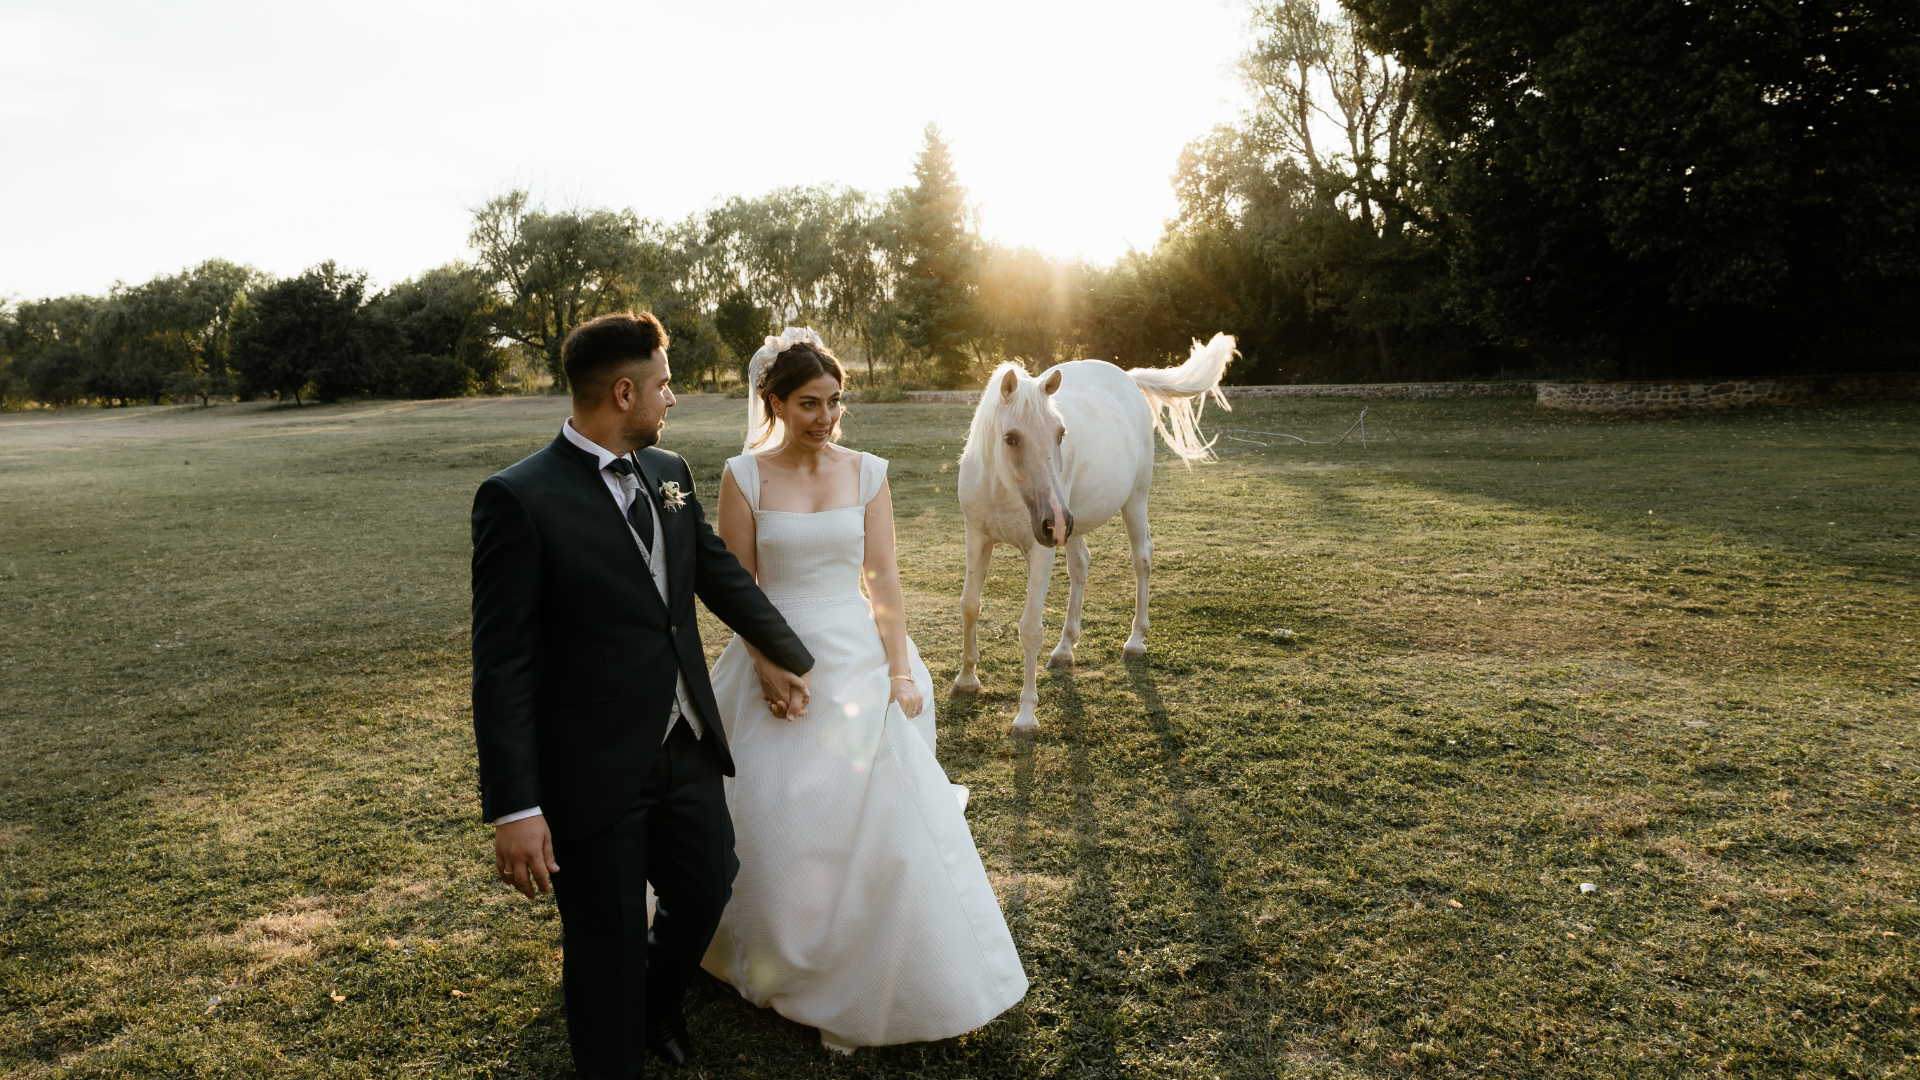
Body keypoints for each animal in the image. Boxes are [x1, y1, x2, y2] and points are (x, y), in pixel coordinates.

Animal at [952, 336, 1236, 734]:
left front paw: (1026, 715)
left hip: (1130, 502)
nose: (1054, 520)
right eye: (1010, 438)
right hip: (1070, 527)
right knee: (1081, 567)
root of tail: (1127, 378)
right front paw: (965, 680)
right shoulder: (977, 537)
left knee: (1142, 558)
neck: (1001, 488)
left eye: (1060, 434)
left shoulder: (1041, 550)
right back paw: (1064, 649)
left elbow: (1030, 628)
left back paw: (1135, 641)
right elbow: (969, 607)